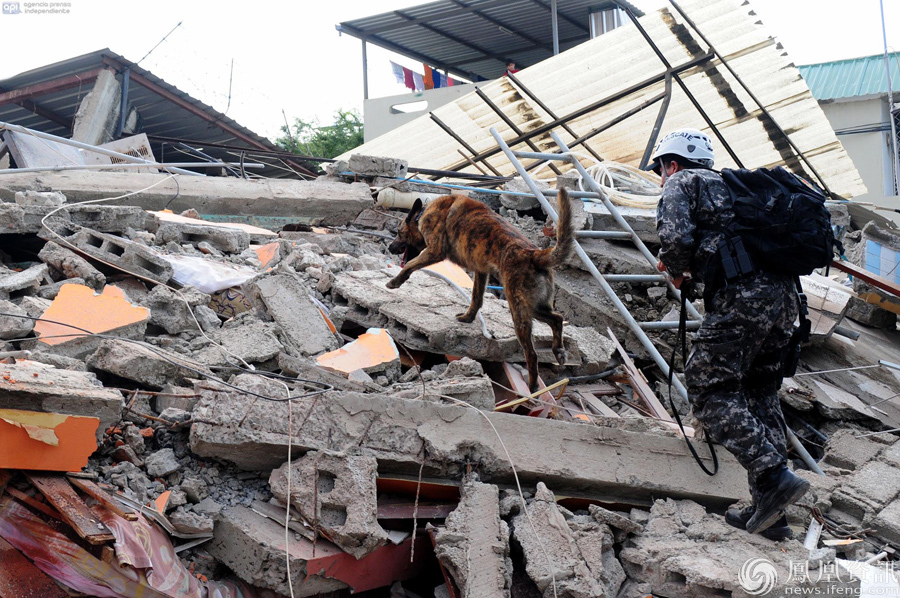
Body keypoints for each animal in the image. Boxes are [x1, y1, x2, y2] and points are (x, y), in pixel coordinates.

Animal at [384, 192, 572, 394]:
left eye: (398, 232)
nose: (389, 248)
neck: (422, 214)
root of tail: (533, 255)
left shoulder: (434, 251)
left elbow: (410, 265)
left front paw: (395, 281)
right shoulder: (481, 272)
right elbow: (476, 298)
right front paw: (468, 318)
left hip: (519, 312)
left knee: (532, 354)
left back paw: (533, 386)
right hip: (532, 307)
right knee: (557, 318)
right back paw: (559, 351)